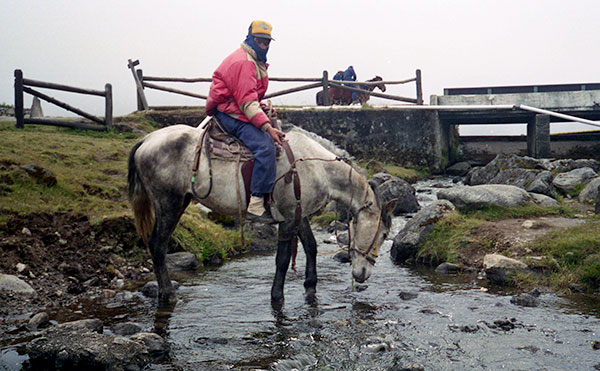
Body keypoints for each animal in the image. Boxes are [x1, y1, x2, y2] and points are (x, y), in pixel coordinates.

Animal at [129, 120, 396, 306]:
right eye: (384, 234)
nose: (362, 275)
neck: (316, 167)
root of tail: (146, 140)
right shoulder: (287, 218)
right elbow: (282, 259)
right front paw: (277, 296)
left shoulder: (299, 215)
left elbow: (311, 246)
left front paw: (310, 285)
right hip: (169, 203)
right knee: (158, 244)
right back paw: (167, 294)